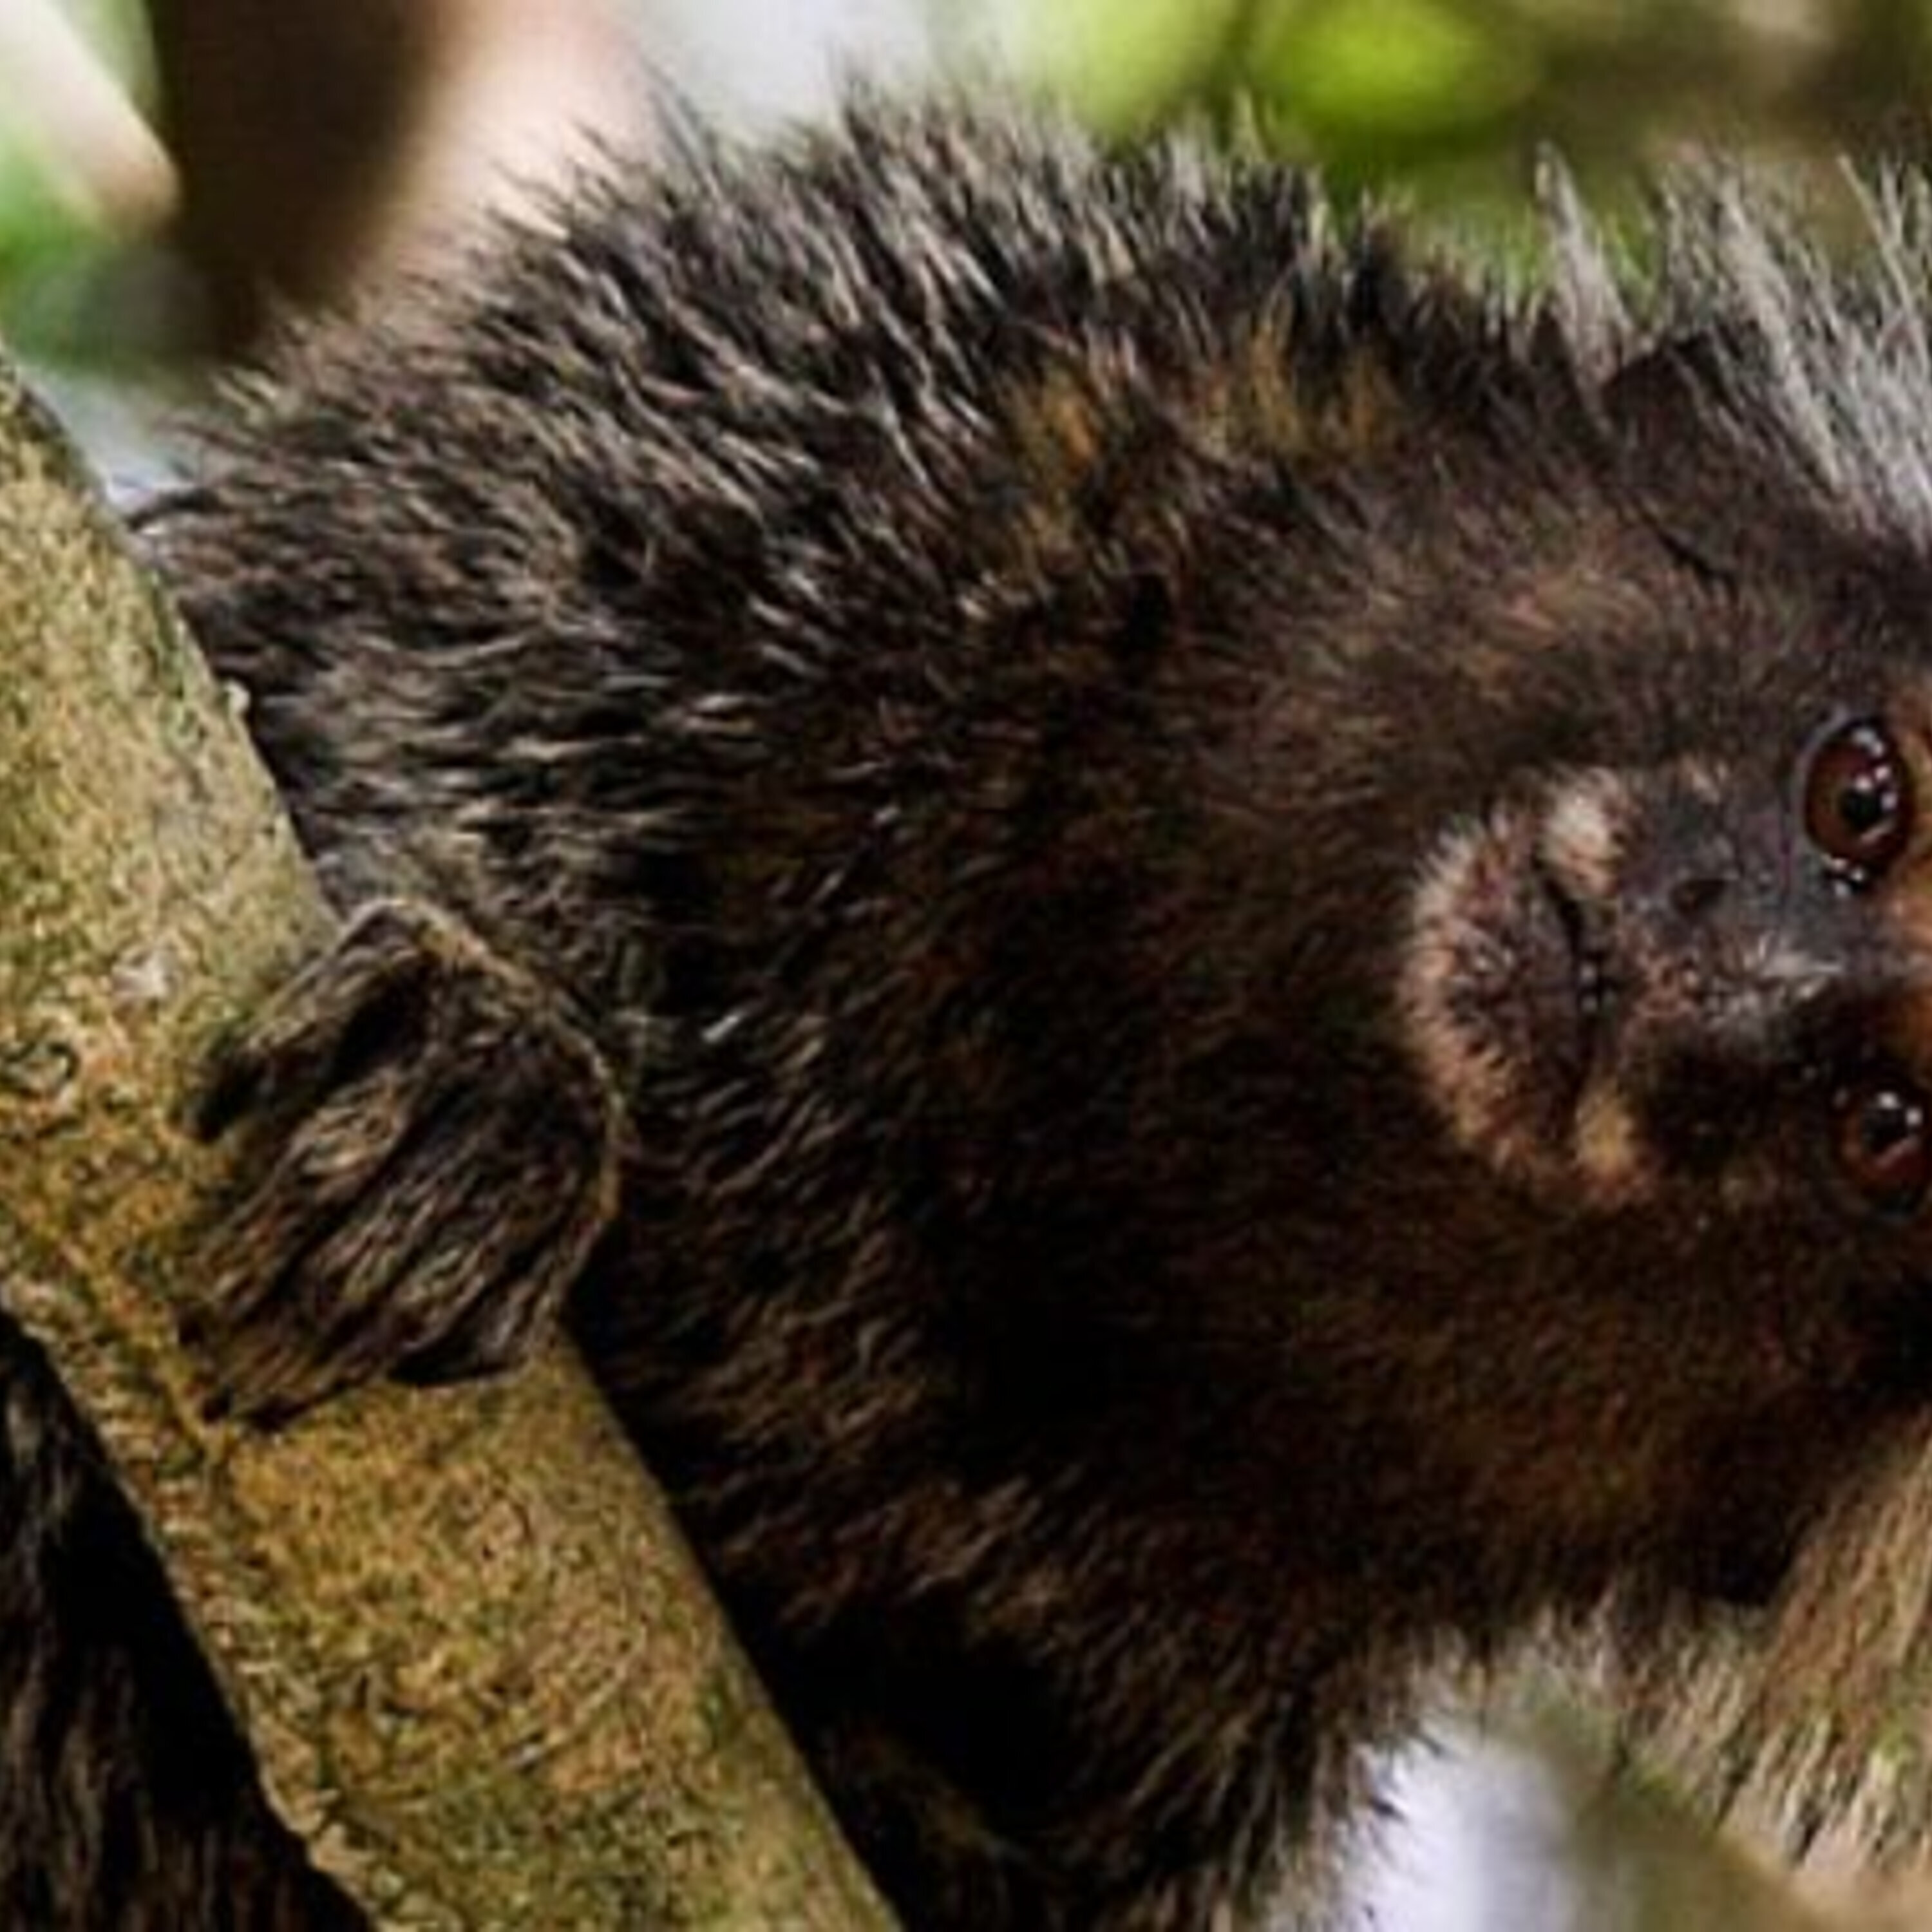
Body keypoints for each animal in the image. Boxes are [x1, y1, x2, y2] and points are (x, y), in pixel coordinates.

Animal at [8, 98, 1932, 1930]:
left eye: (1884, 1128)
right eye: (1861, 792)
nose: (1704, 984)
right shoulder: (946, 385)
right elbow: (421, 616)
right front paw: (494, 1073)